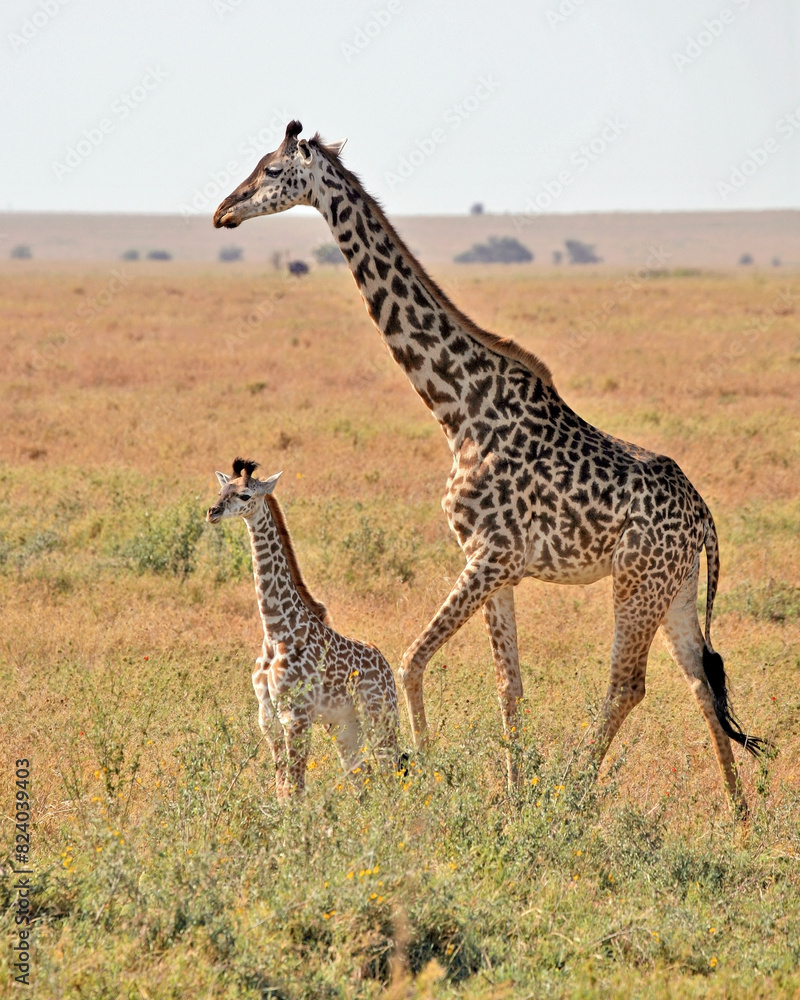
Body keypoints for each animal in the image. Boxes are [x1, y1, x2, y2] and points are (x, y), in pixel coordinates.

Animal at [207, 458, 399, 797]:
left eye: (244, 495)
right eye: (221, 490)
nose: (212, 512)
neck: (276, 629)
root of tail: (386, 667)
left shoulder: (296, 715)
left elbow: (294, 789)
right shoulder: (268, 717)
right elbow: (282, 788)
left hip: (381, 716)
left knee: (395, 775)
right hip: (345, 724)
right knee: (362, 777)